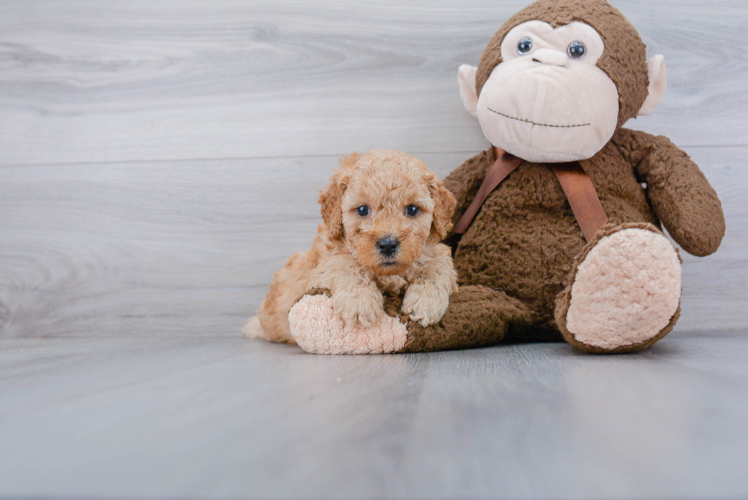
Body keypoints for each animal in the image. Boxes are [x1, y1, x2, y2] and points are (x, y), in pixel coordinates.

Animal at [245, 147, 456, 344]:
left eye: (412, 209)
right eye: (362, 209)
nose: (388, 244)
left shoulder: (434, 250)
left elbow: (437, 266)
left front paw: (426, 302)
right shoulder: (319, 269)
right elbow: (345, 265)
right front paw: (360, 302)